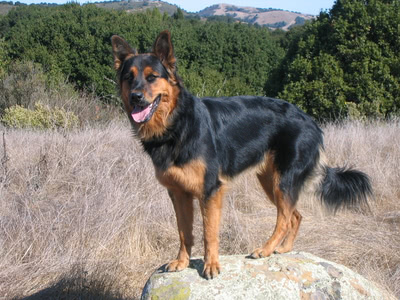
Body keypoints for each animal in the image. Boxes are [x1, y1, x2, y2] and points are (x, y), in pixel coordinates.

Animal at [110, 30, 372, 278]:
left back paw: (265, 249)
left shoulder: (210, 191)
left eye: (152, 77)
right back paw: (283, 249)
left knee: (284, 219)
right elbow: (184, 232)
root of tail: (311, 122)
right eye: (129, 78)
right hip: (270, 181)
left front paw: (211, 266)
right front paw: (182, 262)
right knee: (295, 216)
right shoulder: (178, 193)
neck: (177, 123)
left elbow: (209, 233)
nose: (135, 97)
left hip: (283, 182)